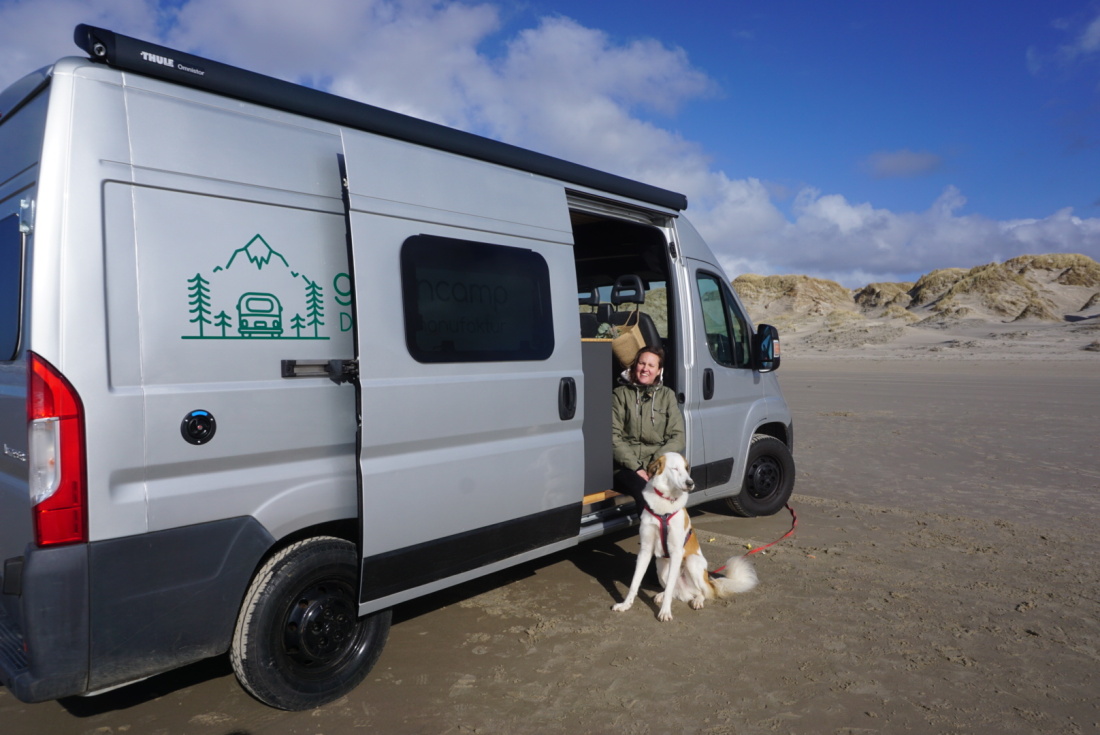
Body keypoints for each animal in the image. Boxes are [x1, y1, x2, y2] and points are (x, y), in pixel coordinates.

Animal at [611, 453, 756, 620]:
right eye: (675, 468)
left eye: (687, 468)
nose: (690, 483)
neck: (665, 504)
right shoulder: (645, 551)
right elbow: (635, 583)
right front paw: (625, 605)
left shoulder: (676, 552)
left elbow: (670, 589)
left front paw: (665, 612)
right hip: (660, 566)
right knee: (674, 589)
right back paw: (661, 595)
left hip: (692, 562)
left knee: (703, 592)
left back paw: (697, 600)